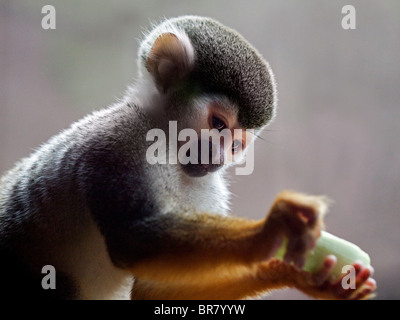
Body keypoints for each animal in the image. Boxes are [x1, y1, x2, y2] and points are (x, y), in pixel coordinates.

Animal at [0, 15, 376, 300]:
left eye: (237, 145)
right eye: (218, 124)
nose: (220, 157)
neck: (164, 141)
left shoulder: (207, 186)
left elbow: (155, 290)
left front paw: (300, 274)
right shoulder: (117, 142)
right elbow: (131, 241)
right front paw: (269, 231)